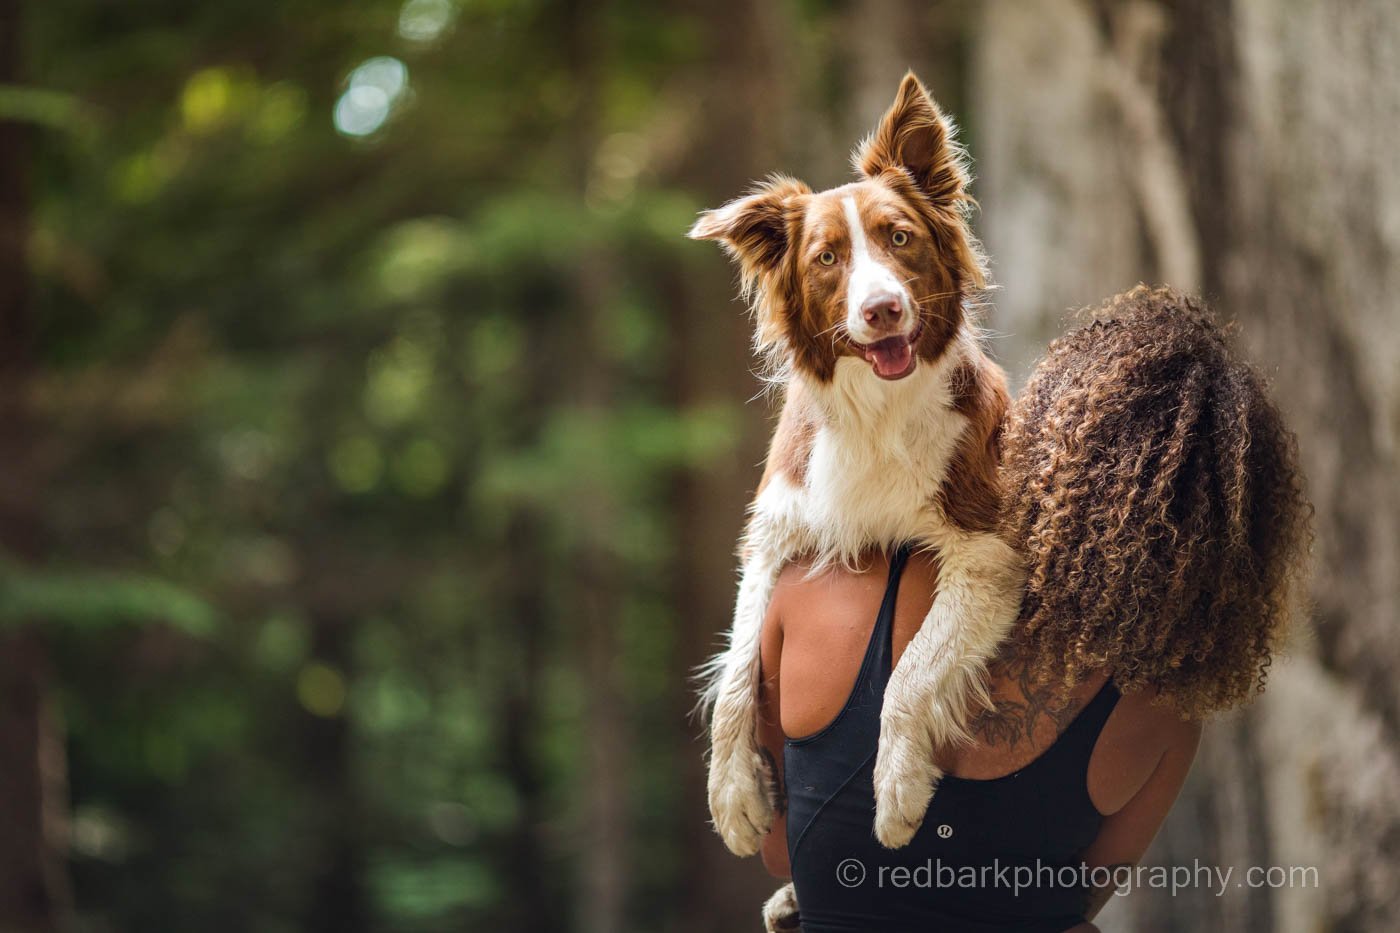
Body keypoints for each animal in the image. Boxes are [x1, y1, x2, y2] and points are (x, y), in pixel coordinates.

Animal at [694, 70, 1024, 857]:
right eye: (827, 257)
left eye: (899, 237)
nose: (881, 310)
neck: (877, 409)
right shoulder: (776, 528)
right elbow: (736, 669)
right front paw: (732, 795)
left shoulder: (989, 548)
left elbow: (910, 673)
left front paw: (898, 791)